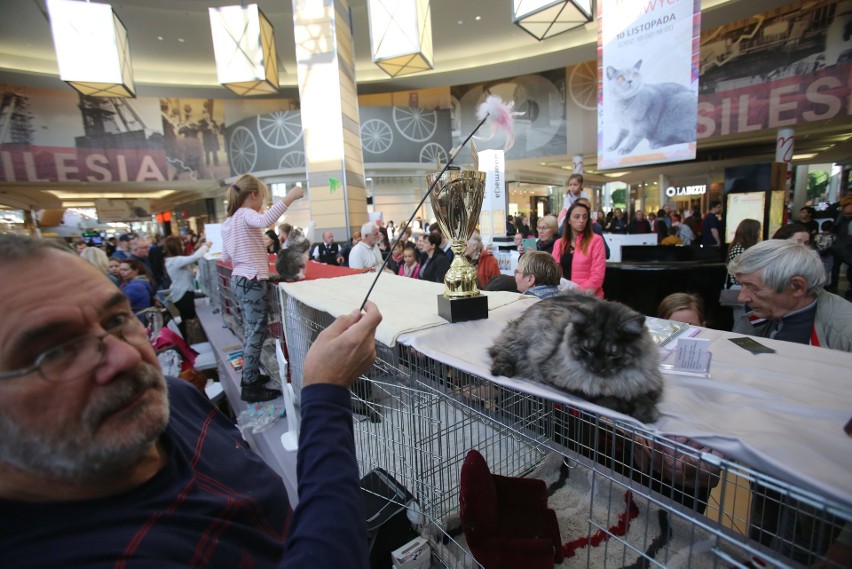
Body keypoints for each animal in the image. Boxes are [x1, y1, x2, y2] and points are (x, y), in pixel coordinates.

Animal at [490, 292, 664, 422]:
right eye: (587, 348)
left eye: (614, 353)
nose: (597, 366)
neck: (608, 382)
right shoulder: (560, 379)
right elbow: (604, 398)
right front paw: (624, 407)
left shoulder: (649, 384)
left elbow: (643, 398)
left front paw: (646, 413)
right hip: (521, 341)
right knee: (501, 351)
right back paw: (502, 370)